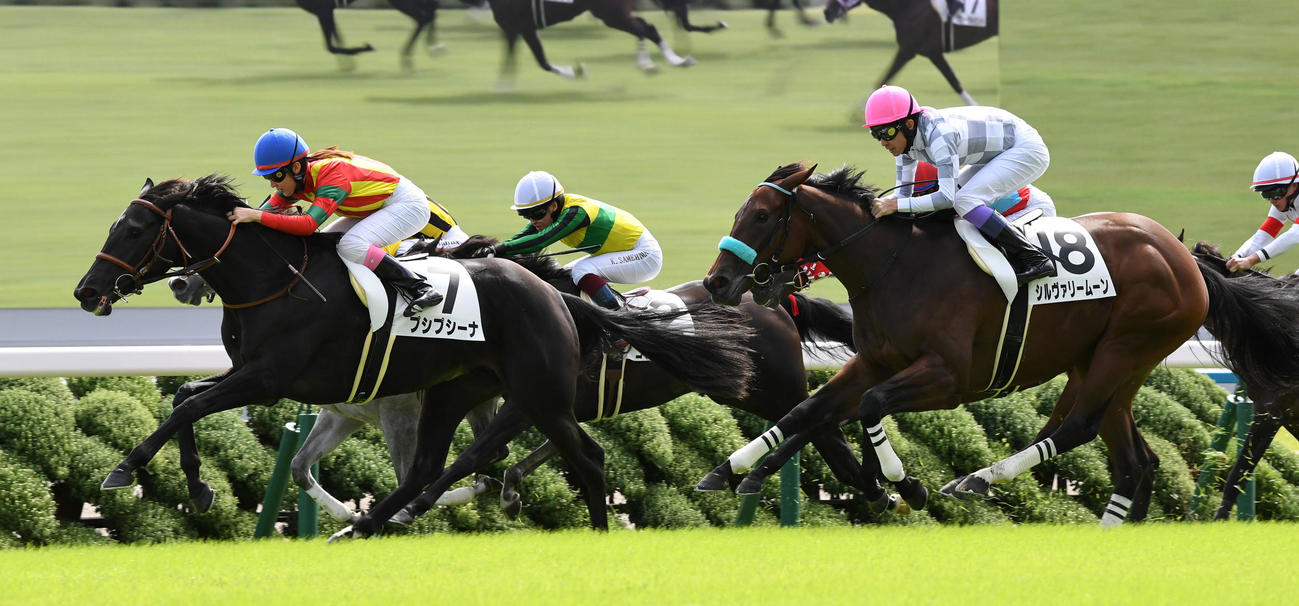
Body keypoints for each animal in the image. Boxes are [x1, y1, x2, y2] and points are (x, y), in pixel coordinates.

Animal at [72, 174, 757, 532]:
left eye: (135, 229)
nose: (86, 292)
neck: (275, 279)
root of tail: (554, 293)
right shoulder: (264, 378)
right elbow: (187, 401)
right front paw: (196, 486)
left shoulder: (272, 378)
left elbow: (188, 407)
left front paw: (125, 470)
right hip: (470, 389)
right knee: (451, 462)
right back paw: (374, 522)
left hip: (538, 391)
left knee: (576, 455)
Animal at [485, 0, 696, 85]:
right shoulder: (515, 28)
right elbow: (516, 61)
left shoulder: (522, 27)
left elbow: (540, 61)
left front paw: (574, 71)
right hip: (615, 15)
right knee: (643, 27)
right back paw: (649, 64)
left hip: (612, 15)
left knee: (647, 29)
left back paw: (676, 60)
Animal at [697, 162, 1299, 527]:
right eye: (742, 212)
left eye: (763, 216)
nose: (718, 283)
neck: (895, 265)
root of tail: (1184, 259)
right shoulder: (873, 361)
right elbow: (809, 410)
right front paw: (732, 471)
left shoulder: (949, 378)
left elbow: (866, 408)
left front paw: (904, 485)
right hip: (1107, 364)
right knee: (1135, 462)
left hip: (1128, 346)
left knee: (1080, 427)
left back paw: (976, 479)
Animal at [825, 0, 998, 105]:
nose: (827, 12)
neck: (909, 5)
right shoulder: (933, 52)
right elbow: (954, 80)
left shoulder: (908, 49)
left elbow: (886, 77)